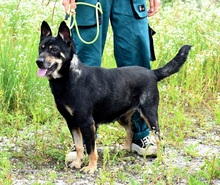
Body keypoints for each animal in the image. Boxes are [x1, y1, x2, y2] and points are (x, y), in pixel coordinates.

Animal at [36, 21, 191, 173]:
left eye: (54, 50)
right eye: (41, 48)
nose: (38, 61)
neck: (69, 77)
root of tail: (153, 73)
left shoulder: (86, 122)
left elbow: (91, 148)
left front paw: (91, 167)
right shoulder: (72, 122)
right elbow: (79, 146)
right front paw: (77, 162)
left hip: (149, 114)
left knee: (159, 137)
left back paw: (161, 159)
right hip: (122, 115)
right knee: (131, 128)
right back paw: (126, 149)